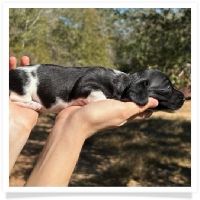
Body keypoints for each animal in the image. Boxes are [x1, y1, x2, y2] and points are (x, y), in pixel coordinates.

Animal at [9, 65, 184, 113]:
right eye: (168, 86)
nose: (183, 96)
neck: (124, 82)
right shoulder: (87, 85)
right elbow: (99, 95)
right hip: (23, 86)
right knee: (15, 100)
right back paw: (34, 105)